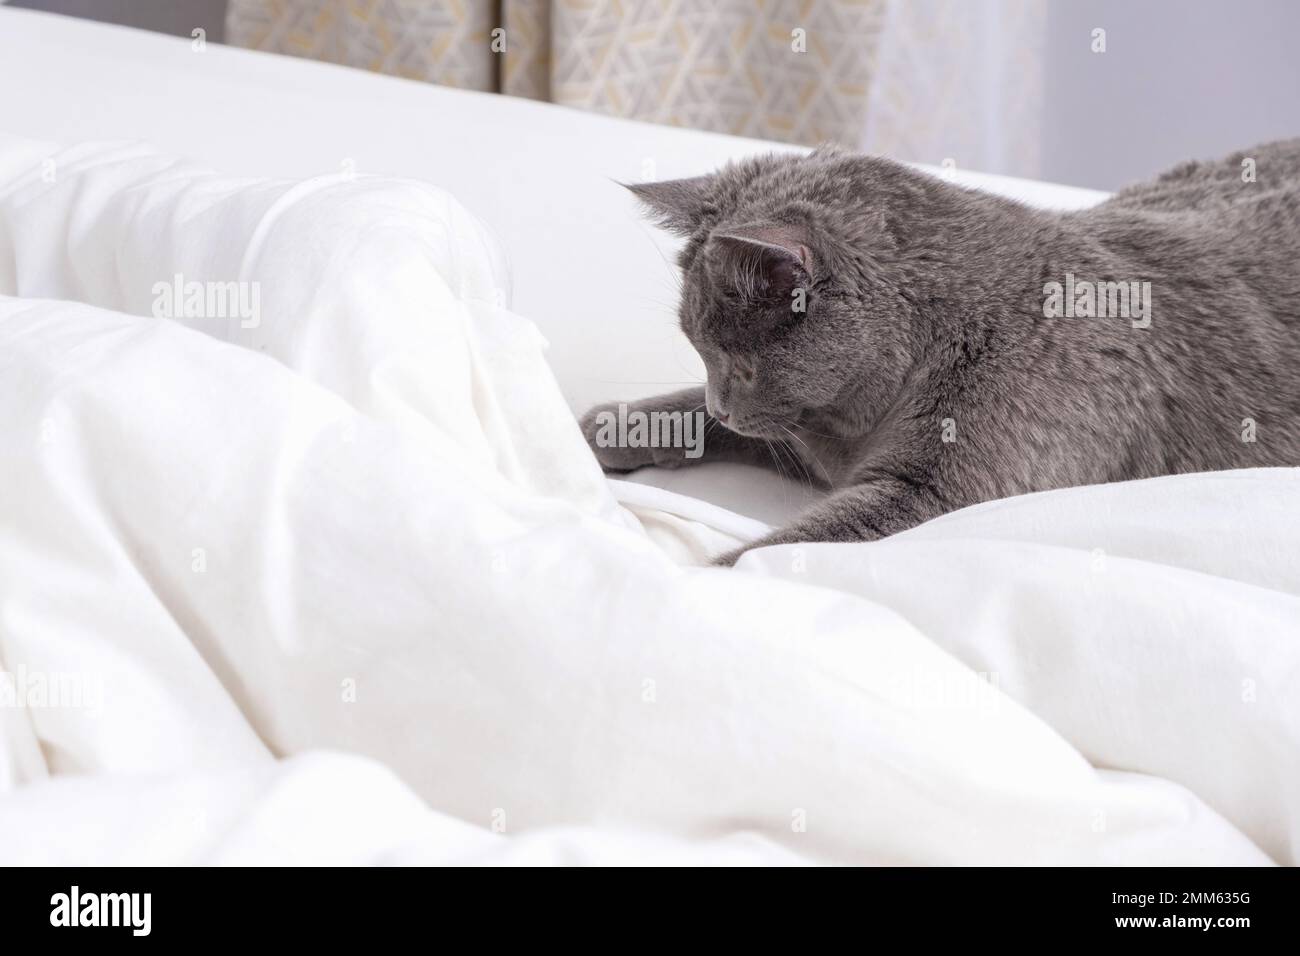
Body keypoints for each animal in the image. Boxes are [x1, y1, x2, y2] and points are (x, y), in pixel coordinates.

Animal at [579, 138, 1300, 564]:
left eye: (741, 364)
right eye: (699, 351)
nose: (722, 402)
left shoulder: (931, 495)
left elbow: (775, 552)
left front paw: (693, 576)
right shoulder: (807, 440)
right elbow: (691, 419)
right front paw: (601, 429)